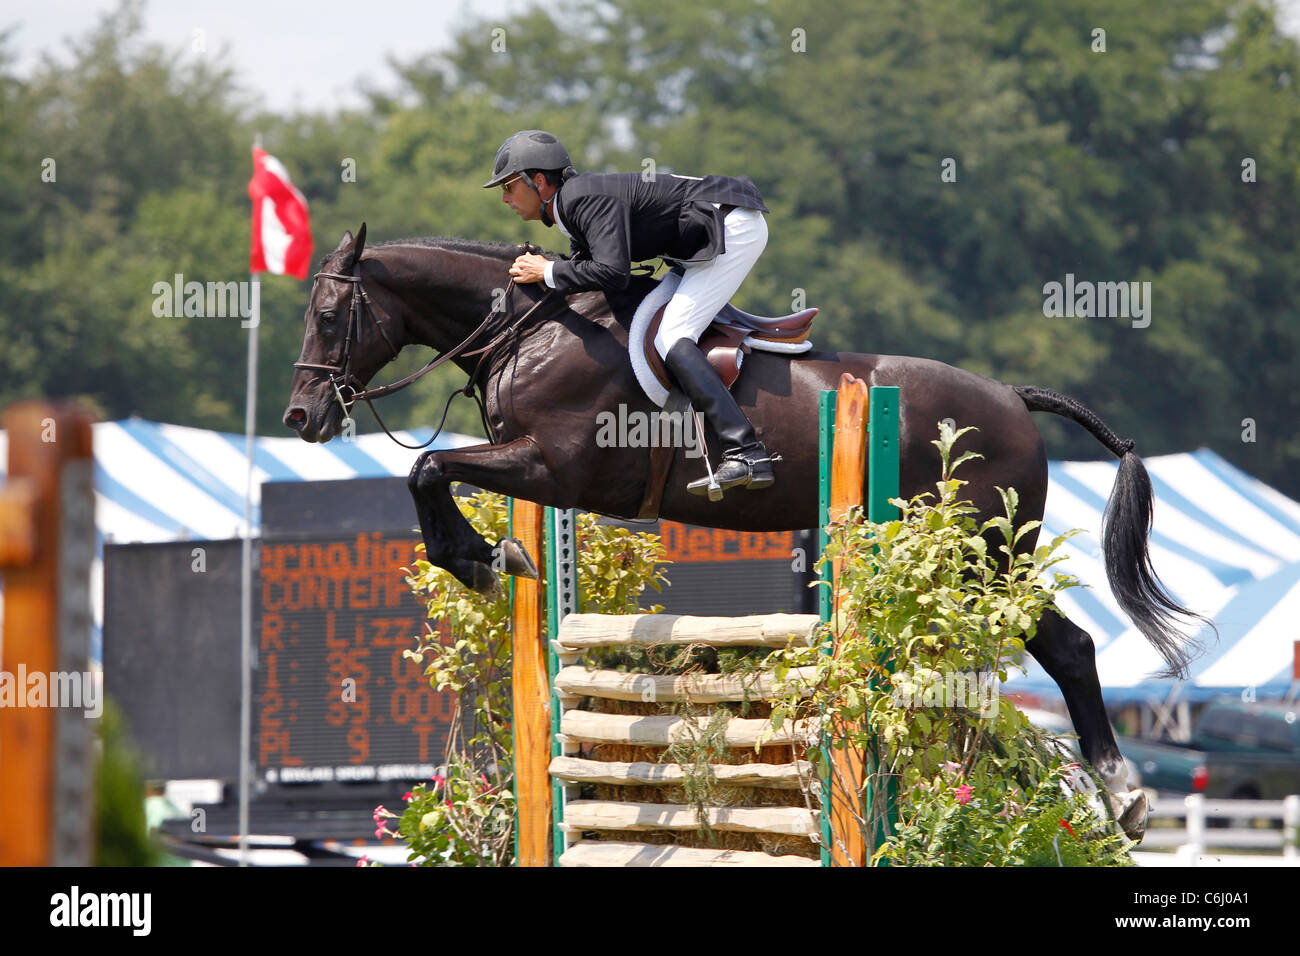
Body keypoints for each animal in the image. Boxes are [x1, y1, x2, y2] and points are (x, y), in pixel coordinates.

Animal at [284, 224, 1208, 841]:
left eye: (329, 315)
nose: (301, 417)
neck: (533, 327)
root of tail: (1014, 398)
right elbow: (431, 473)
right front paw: (491, 554)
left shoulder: (555, 468)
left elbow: (426, 469)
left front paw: (480, 558)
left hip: (981, 554)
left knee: (1070, 648)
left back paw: (1125, 796)